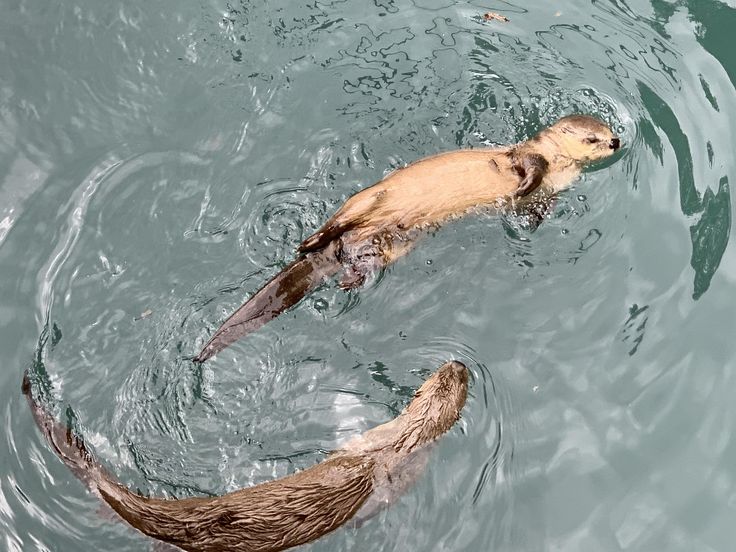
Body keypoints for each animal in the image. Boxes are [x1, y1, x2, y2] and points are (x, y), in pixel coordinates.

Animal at [193, 115, 620, 362]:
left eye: (612, 132)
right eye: (593, 138)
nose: (617, 142)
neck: (558, 171)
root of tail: (338, 251)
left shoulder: (551, 193)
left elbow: (535, 209)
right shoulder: (527, 158)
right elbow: (525, 170)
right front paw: (518, 188)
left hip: (389, 247)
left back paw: (350, 277)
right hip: (365, 199)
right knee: (337, 221)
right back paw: (310, 241)